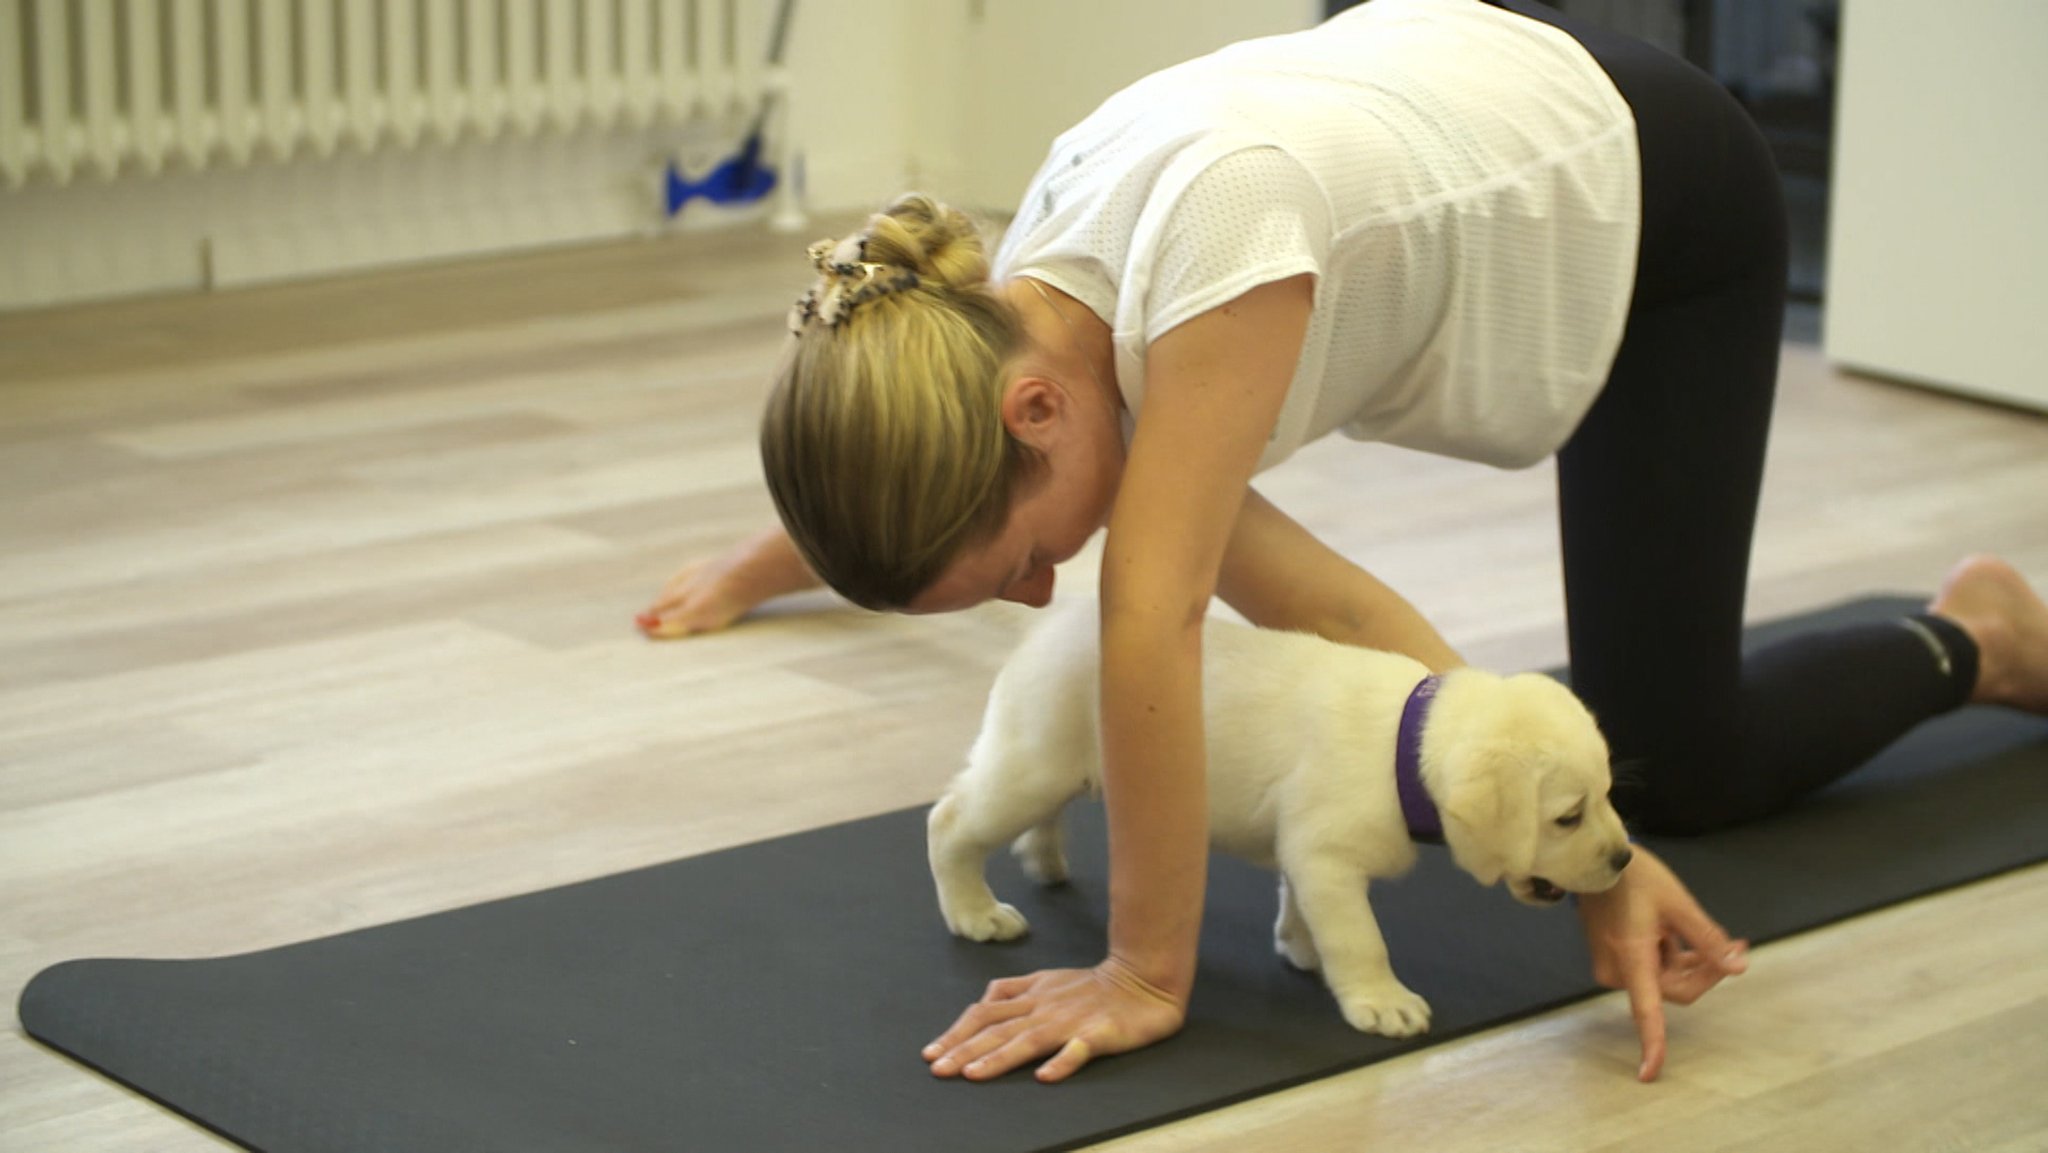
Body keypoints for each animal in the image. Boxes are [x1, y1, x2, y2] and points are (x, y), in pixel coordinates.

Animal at [929, 606, 1630, 1036]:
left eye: (1608, 795)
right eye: (1568, 818)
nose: (1624, 859)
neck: (1404, 749)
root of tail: (1054, 620)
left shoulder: (1304, 851)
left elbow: (1299, 901)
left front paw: (1299, 945)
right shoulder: (1327, 858)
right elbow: (1360, 937)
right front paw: (1379, 999)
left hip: (1059, 769)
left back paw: (1043, 858)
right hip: (1031, 769)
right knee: (949, 821)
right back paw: (973, 911)